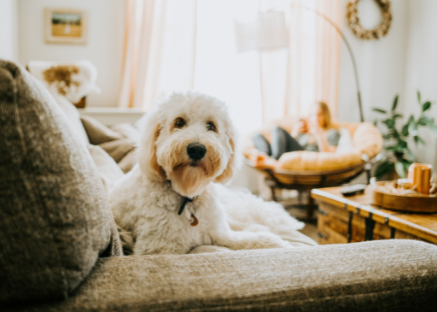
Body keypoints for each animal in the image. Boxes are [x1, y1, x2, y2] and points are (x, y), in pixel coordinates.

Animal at [109, 91, 292, 255]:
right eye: (179, 122)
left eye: (211, 126)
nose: (196, 149)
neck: (188, 195)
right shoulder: (159, 250)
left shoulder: (221, 234)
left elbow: (254, 240)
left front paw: (278, 243)